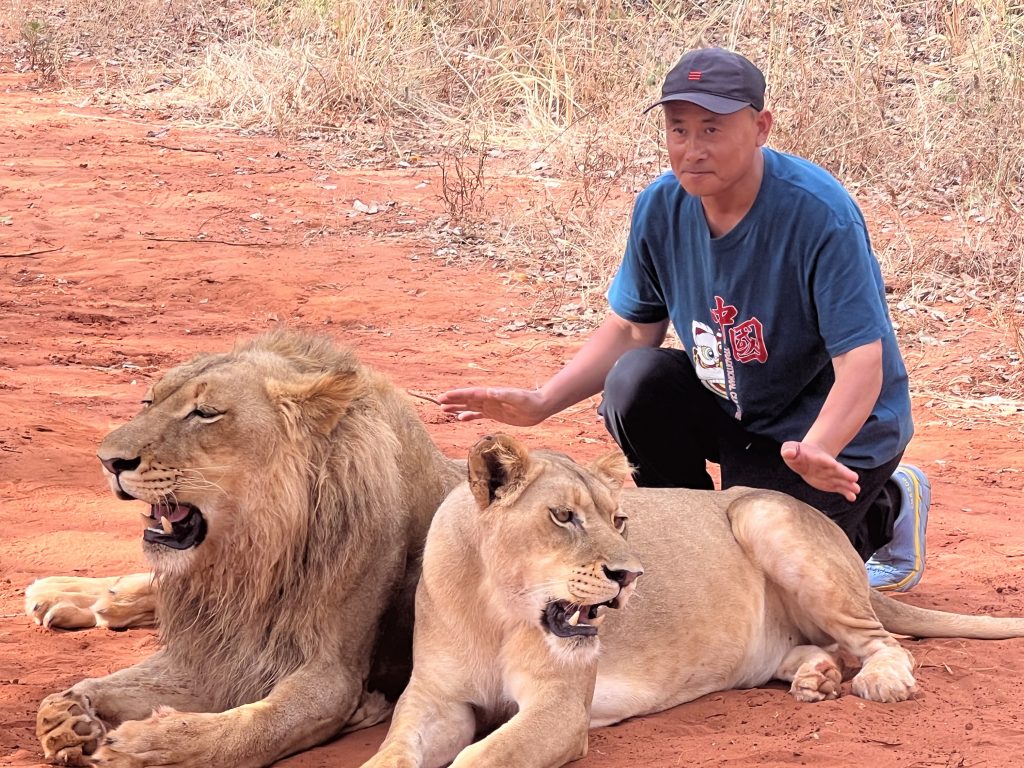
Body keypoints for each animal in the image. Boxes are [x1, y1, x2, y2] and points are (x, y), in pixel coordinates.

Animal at [28, 329, 463, 767]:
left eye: (204, 413)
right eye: (148, 402)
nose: (108, 460)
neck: (251, 557)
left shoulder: (332, 673)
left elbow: (250, 728)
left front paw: (148, 747)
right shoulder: (214, 646)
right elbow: (116, 684)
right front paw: (69, 713)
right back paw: (66, 595)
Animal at [362, 433, 1024, 768]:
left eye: (619, 519)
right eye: (562, 517)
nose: (630, 576)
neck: (498, 607)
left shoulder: (560, 709)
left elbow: (479, 759)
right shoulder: (436, 699)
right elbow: (395, 751)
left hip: (763, 516)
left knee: (882, 641)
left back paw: (878, 679)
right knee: (812, 648)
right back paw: (816, 677)